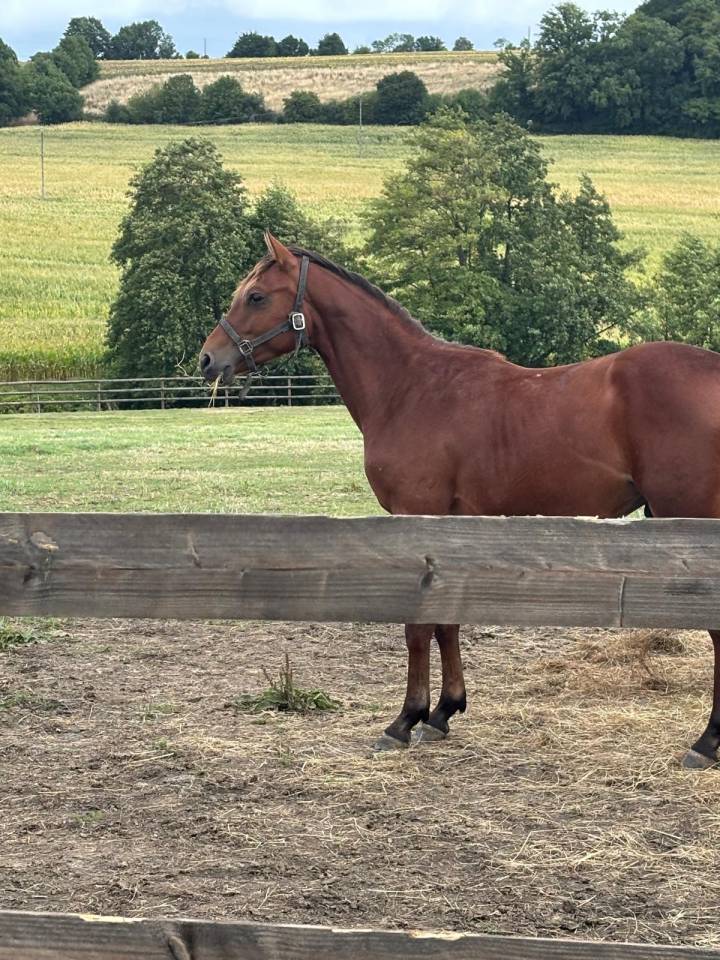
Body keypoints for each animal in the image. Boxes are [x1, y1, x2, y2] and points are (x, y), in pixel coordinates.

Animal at [200, 233, 720, 769]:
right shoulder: (450, 527)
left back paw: (705, 743)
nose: (208, 359)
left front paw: (403, 721)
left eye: (256, 296)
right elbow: (446, 622)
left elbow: (418, 626)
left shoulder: (416, 516)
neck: (410, 387)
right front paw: (443, 712)